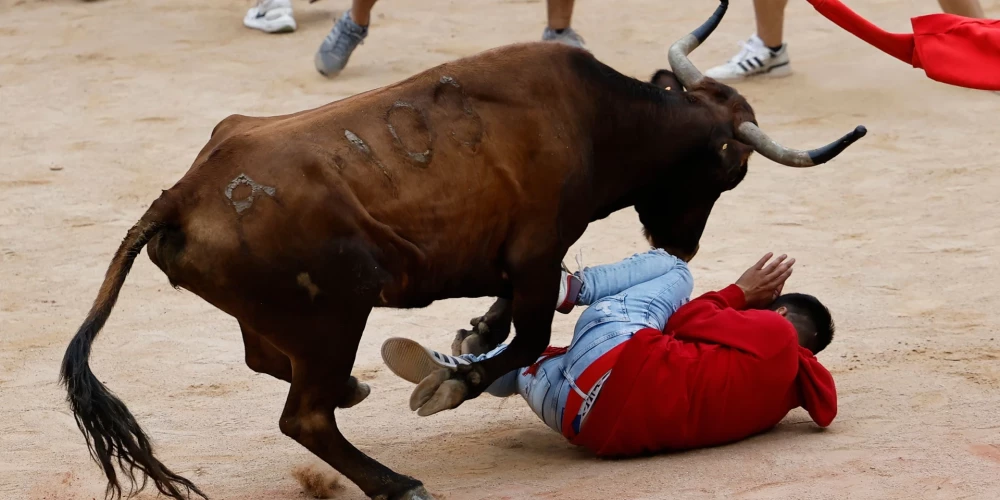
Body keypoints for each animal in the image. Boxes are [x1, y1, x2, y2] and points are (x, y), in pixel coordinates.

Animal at [58, 1, 864, 498]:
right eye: (733, 171)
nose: (681, 244)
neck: (600, 119)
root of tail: (183, 192)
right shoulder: (538, 249)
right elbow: (526, 336)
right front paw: (456, 379)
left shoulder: (525, 259)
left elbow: (507, 315)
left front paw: (469, 337)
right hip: (335, 311)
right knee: (303, 416)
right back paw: (396, 480)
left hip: (289, 317)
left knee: (271, 365)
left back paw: (356, 390)